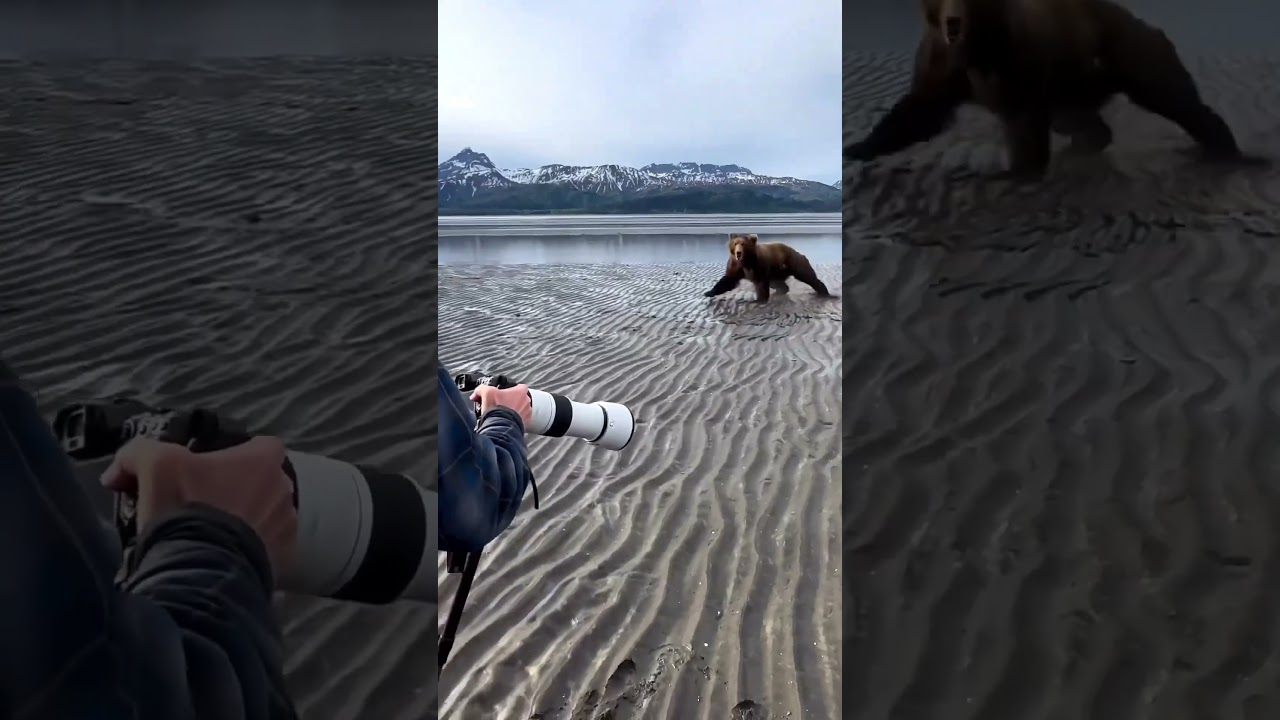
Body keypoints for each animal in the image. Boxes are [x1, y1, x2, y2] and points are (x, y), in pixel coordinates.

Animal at [703, 234, 831, 303]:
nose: (738, 253)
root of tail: (796, 251)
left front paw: (759, 299)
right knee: (778, 284)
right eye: (735, 243)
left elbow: (760, 283)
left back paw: (824, 292)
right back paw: (781, 291)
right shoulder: (736, 266)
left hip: (794, 262)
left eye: (743, 244)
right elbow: (727, 280)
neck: (746, 261)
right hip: (777, 271)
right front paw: (708, 292)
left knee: (808, 276)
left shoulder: (758, 265)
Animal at [843, 0, 1247, 179]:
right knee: (1079, 120)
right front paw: (857, 148)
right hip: (1074, 83)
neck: (976, 47)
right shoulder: (943, 62)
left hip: (1129, 52)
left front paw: (1018, 171)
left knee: (1176, 98)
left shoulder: (1015, 59)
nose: (953, 22)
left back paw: (1228, 151)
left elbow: (1022, 119)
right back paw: (1087, 144)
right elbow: (918, 111)